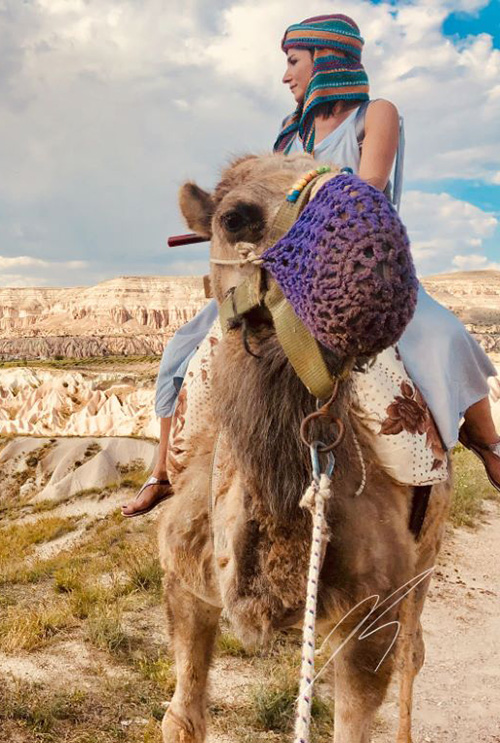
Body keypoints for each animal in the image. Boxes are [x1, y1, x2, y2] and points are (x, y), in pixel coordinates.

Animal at [157, 153, 454, 743]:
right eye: (234, 217)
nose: (378, 259)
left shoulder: (370, 618)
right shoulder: (184, 582)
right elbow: (182, 718)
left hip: (427, 550)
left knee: (414, 651)